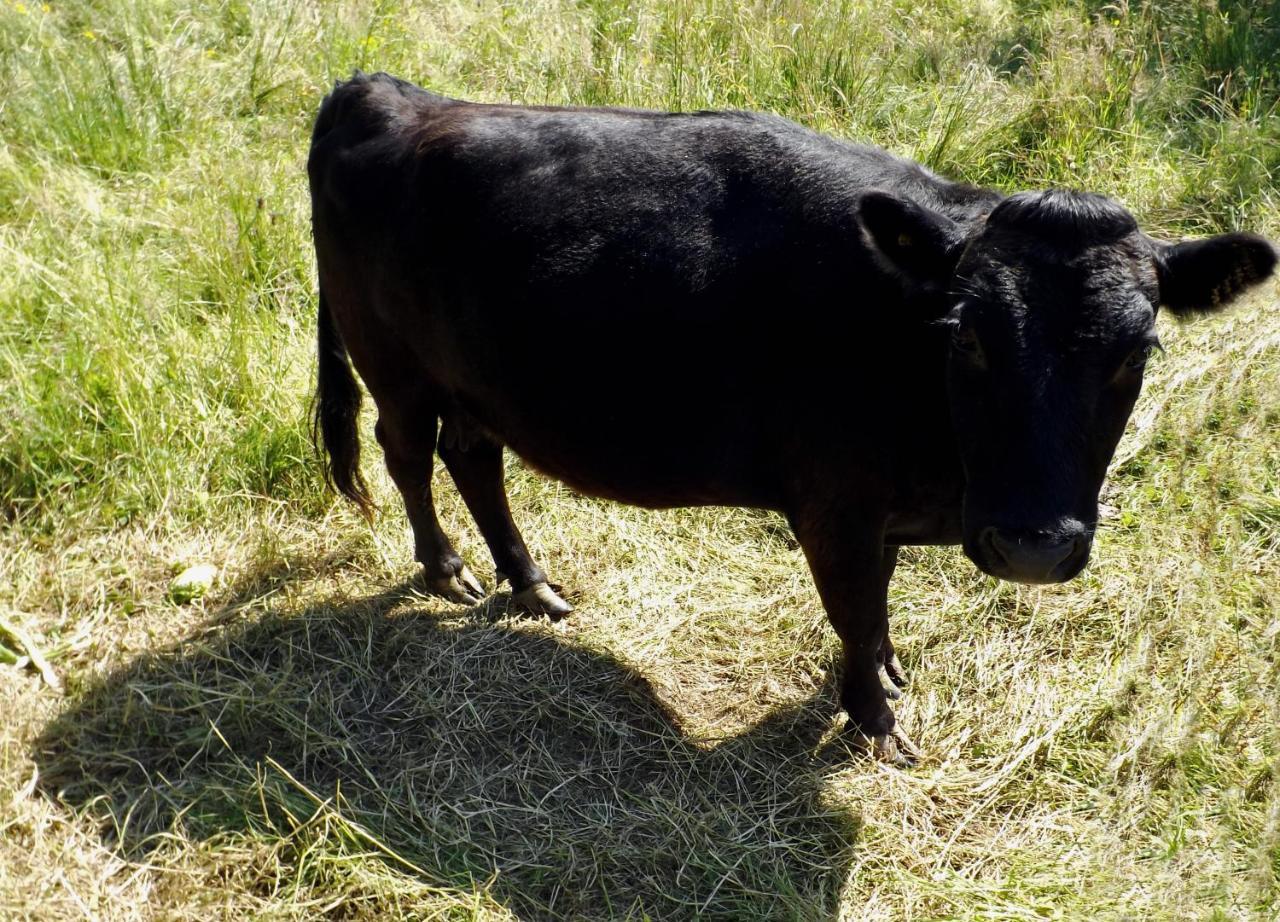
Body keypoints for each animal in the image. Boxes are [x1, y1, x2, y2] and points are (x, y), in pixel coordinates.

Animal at [304, 72, 1274, 763]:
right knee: (406, 453)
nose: (1034, 546)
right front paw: (875, 721)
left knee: (474, 458)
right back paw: (446, 569)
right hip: (394, 366)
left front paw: (884, 674)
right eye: (968, 336)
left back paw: (532, 584)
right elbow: (854, 608)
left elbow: (876, 605)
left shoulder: (878, 510)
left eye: (1137, 352)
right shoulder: (834, 507)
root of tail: (382, 90)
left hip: (475, 380)